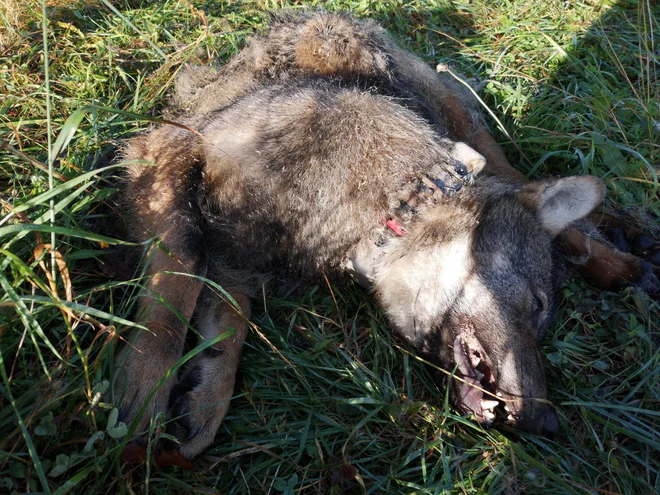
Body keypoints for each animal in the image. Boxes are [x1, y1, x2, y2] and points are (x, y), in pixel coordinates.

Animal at [112, 9, 656, 460]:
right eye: (539, 305)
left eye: (544, 320)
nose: (548, 425)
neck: (390, 202)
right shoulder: (168, 158)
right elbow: (182, 288)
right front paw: (160, 382)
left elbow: (223, 309)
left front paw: (196, 392)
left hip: (451, 114)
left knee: (520, 177)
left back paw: (622, 255)